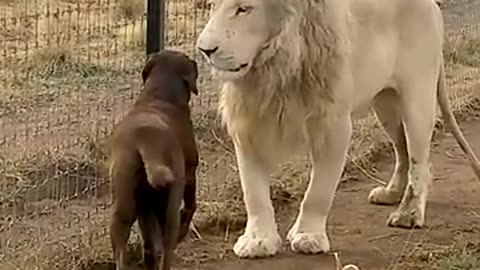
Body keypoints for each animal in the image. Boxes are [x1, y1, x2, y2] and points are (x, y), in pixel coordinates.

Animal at [108, 49, 199, 270]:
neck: (159, 95)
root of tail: (145, 139)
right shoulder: (190, 174)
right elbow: (191, 205)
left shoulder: (145, 208)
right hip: (170, 207)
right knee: (167, 250)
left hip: (124, 205)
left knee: (128, 252)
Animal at [194, 0, 480, 260]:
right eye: (212, 5)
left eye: (244, 9)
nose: (204, 50)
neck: (273, 70)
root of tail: (432, 5)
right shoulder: (248, 125)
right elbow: (253, 192)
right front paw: (257, 241)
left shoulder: (334, 126)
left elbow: (318, 191)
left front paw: (308, 236)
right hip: (385, 104)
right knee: (403, 152)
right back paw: (391, 194)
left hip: (416, 99)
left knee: (420, 161)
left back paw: (408, 214)